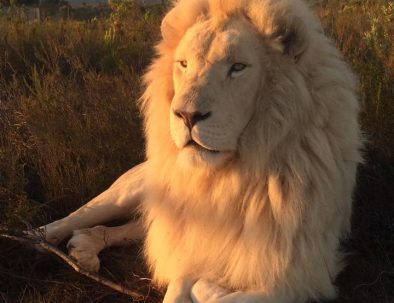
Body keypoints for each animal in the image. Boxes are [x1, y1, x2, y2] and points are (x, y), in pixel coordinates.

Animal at [38, 1, 362, 302]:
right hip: (127, 192)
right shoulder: (189, 250)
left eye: (238, 67)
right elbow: (186, 282)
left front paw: (209, 285)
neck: (224, 181)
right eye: (183, 64)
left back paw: (84, 247)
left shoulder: (306, 272)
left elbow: (235, 291)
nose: (187, 115)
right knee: (74, 217)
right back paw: (41, 238)